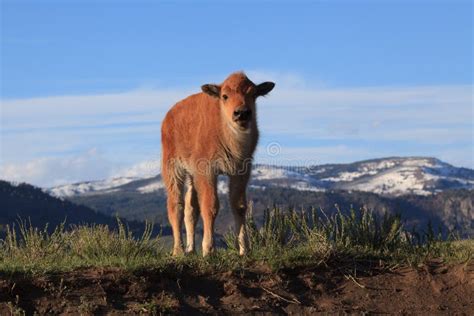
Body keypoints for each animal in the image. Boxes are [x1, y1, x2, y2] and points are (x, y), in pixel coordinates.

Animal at [161, 72, 276, 256]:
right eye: (225, 96)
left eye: (253, 94)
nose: (241, 113)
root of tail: (168, 117)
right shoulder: (208, 171)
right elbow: (210, 205)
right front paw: (209, 250)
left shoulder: (241, 171)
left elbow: (239, 206)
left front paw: (244, 250)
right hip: (173, 168)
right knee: (175, 205)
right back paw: (178, 251)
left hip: (192, 176)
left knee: (190, 208)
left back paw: (191, 249)